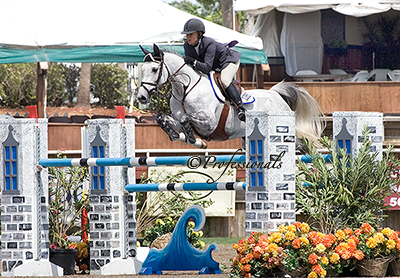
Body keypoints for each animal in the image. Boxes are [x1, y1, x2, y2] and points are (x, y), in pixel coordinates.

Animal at [138, 43, 324, 150]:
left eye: (154, 69)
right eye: (142, 69)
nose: (141, 98)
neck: (185, 90)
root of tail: (276, 95)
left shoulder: (209, 122)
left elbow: (185, 119)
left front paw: (191, 138)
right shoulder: (179, 119)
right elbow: (163, 118)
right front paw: (178, 136)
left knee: (301, 146)